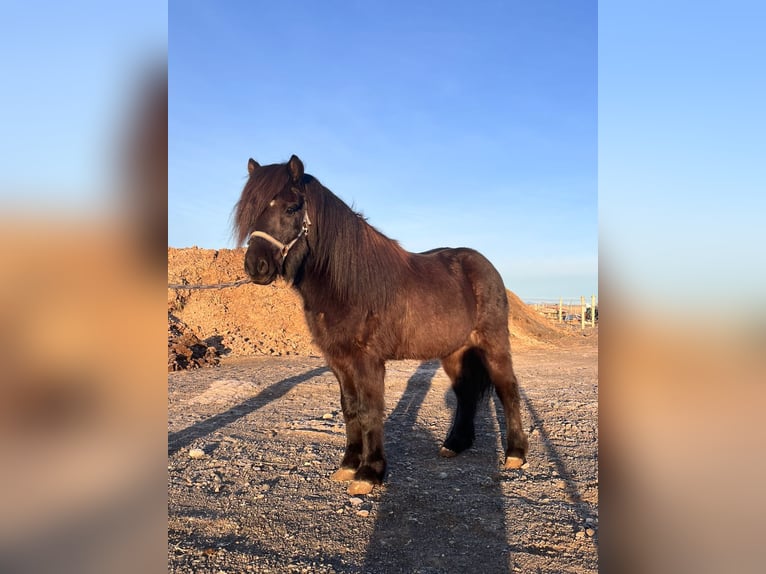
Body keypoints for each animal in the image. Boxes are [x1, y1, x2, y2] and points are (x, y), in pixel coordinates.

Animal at [234, 155, 528, 495]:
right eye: (252, 210)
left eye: (292, 208)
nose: (256, 266)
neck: (348, 285)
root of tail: (484, 266)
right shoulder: (338, 360)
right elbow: (350, 408)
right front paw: (348, 465)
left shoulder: (368, 360)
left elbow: (370, 409)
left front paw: (369, 473)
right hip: (455, 352)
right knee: (465, 393)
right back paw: (454, 444)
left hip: (493, 344)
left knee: (507, 390)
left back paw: (516, 454)